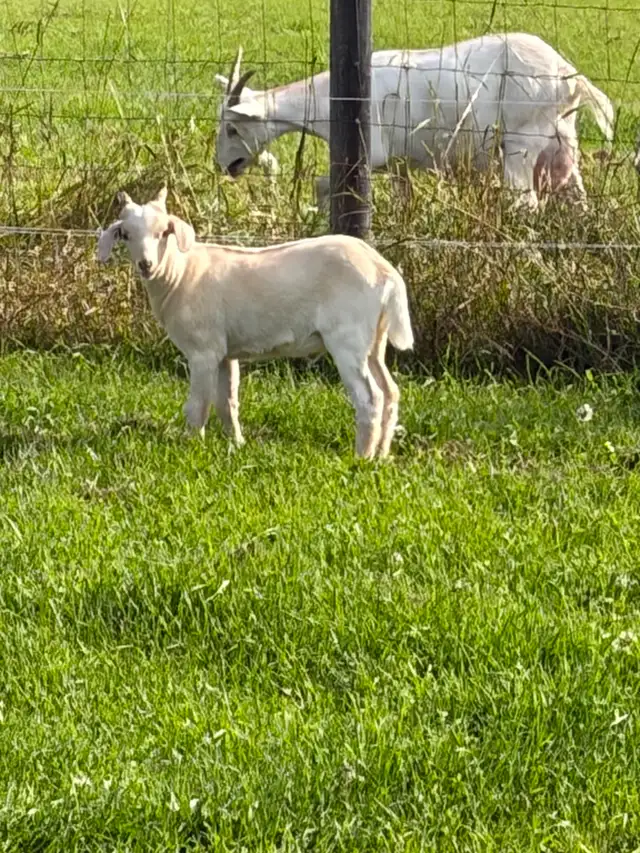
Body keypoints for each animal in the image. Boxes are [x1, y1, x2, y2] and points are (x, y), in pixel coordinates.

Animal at [96, 188, 414, 459]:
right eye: (125, 234)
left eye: (163, 232)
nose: (146, 265)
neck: (180, 274)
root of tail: (383, 270)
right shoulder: (224, 352)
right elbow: (227, 403)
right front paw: (236, 444)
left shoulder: (203, 350)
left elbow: (197, 405)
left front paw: (191, 445)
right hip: (373, 339)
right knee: (390, 391)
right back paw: (381, 454)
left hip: (348, 338)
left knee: (369, 397)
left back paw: (362, 457)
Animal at [214, 34, 614, 210]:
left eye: (233, 128)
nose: (224, 165)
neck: (336, 99)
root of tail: (569, 77)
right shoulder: (398, 164)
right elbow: (403, 201)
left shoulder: (368, 156)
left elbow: (321, 184)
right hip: (562, 141)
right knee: (576, 196)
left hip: (520, 141)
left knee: (526, 201)